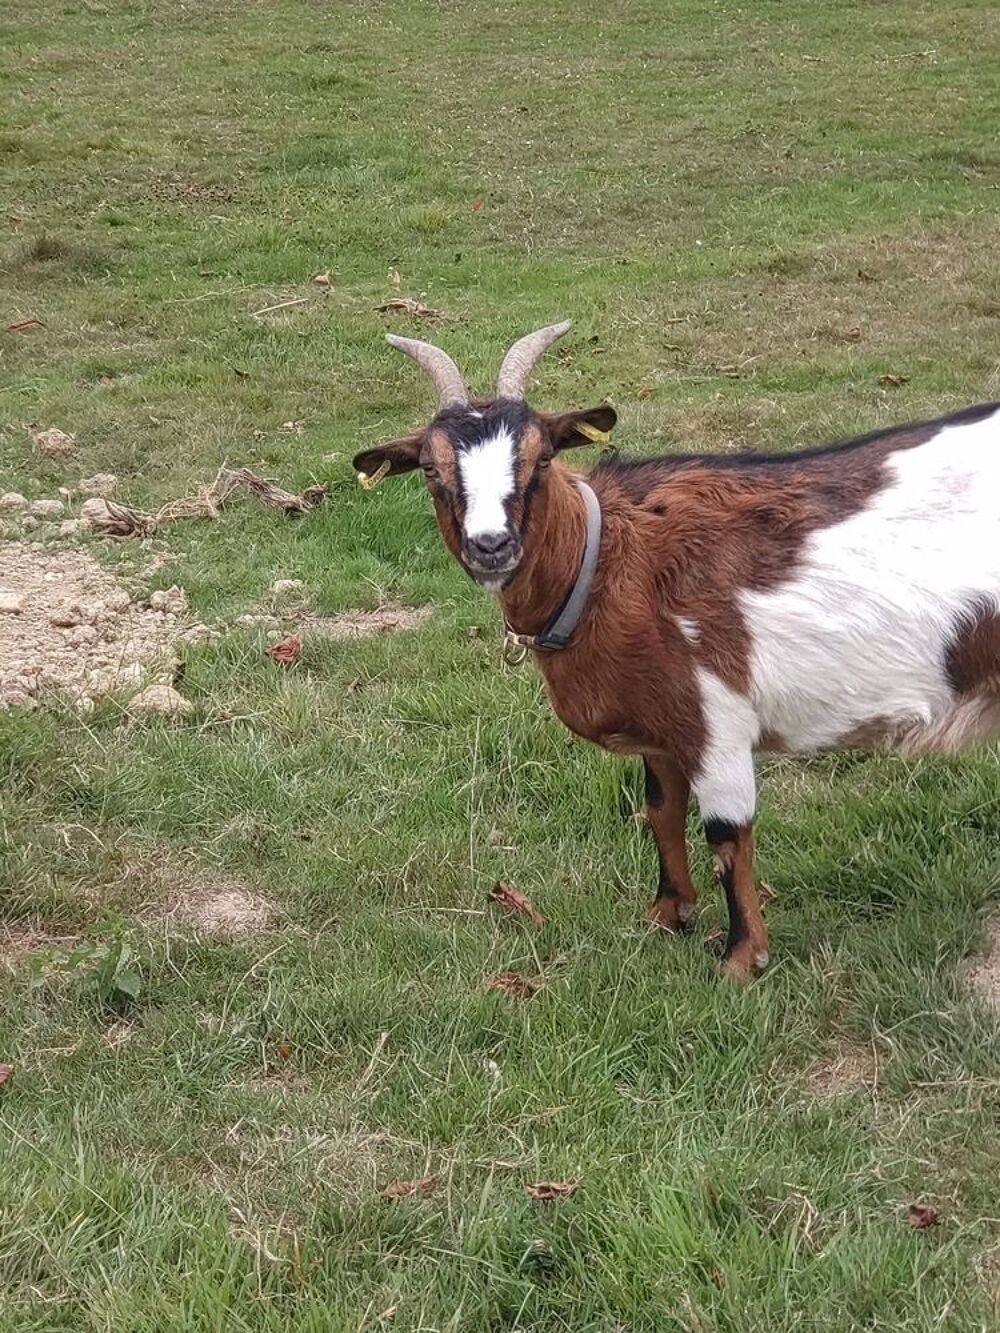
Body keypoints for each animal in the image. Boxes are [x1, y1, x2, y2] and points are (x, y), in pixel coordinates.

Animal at [354, 322, 1000, 980]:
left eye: (543, 457)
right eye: (430, 470)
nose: (491, 545)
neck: (609, 562)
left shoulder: (714, 718)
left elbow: (726, 835)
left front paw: (740, 960)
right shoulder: (659, 731)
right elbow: (661, 812)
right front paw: (666, 916)